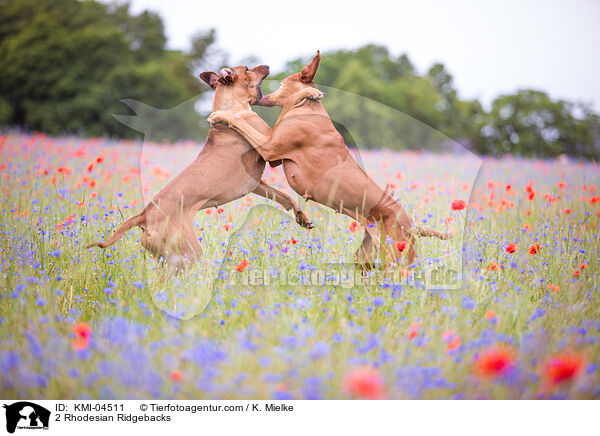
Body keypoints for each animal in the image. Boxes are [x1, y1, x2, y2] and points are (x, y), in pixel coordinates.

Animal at [89, 63, 316, 272]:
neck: (232, 106)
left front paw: (301, 217)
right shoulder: (270, 144)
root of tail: (144, 215)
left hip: (165, 257)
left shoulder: (255, 184)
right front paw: (309, 93)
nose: (268, 65)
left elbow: (284, 197)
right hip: (188, 253)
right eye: (247, 69)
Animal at [209, 52, 448, 268]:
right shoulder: (272, 149)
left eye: (283, 82)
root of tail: (412, 224)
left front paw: (221, 116)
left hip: (395, 258)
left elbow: (239, 120)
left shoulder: (269, 148)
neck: (307, 109)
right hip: (365, 258)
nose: (268, 72)